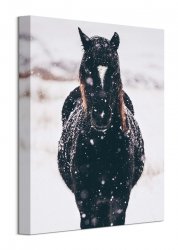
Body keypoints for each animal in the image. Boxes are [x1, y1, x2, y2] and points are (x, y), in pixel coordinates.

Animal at [58, 28, 145, 229]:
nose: (101, 116)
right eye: (86, 67)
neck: (102, 145)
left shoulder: (120, 197)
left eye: (115, 69)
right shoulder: (84, 199)